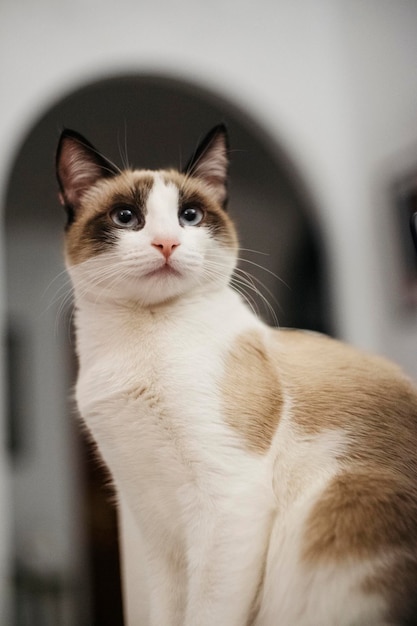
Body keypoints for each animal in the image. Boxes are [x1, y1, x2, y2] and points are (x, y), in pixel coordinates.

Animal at [55, 124, 416, 620]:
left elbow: (206, 614)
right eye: (126, 217)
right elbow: (168, 614)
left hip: (345, 498)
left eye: (189, 216)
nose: (166, 243)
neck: (140, 340)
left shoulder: (226, 500)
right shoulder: (152, 521)